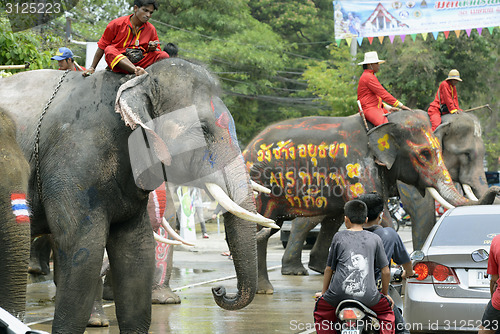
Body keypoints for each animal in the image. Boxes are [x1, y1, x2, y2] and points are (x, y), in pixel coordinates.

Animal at [0, 58, 274, 332]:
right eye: (203, 129)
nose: (219, 290)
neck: (134, 83)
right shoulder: (73, 162)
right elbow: (82, 249)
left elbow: (137, 252)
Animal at [243, 109, 500, 292]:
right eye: (425, 154)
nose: (496, 187)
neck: (384, 121)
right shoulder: (356, 166)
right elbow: (388, 212)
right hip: (258, 190)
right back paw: (267, 289)